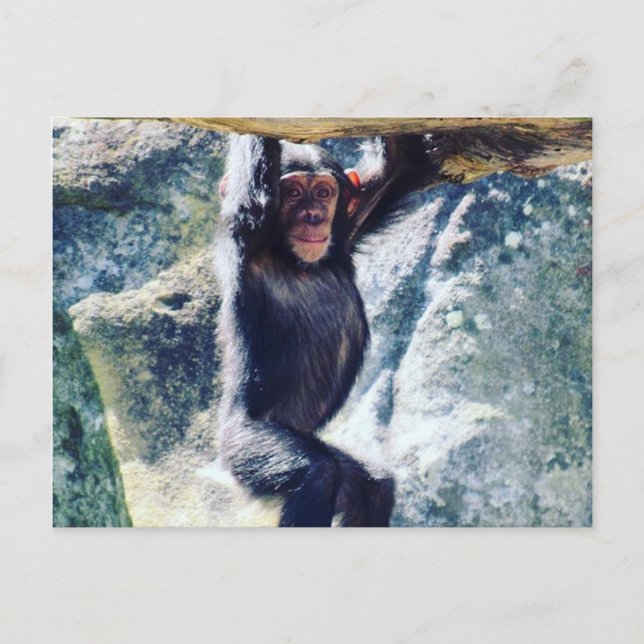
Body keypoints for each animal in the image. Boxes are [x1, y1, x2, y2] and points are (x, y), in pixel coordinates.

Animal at [215, 134, 438, 526]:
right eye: (292, 193)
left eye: (322, 193)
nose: (313, 216)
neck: (293, 259)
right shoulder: (248, 227)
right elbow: (256, 194)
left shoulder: (352, 221)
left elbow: (398, 163)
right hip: (244, 445)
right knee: (317, 473)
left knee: (373, 486)